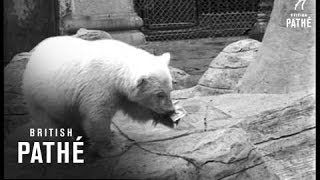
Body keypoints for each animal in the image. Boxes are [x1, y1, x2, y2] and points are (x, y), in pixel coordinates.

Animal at [23, 36, 175, 156]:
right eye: (159, 94)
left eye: (170, 90)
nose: (170, 110)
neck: (115, 66)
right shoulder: (99, 85)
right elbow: (97, 117)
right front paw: (114, 149)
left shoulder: (120, 92)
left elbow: (134, 109)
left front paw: (162, 117)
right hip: (39, 95)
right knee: (47, 121)